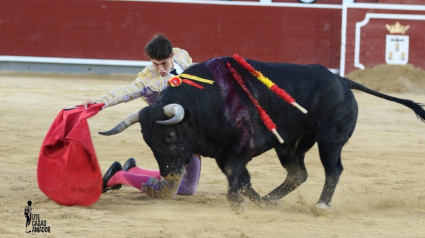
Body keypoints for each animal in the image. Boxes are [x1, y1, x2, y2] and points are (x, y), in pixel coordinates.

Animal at [100, 57, 424, 208]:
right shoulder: (225, 153)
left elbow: (236, 176)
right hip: (291, 145)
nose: (168, 173)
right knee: (298, 173)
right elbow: (240, 179)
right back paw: (271, 200)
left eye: (169, 137)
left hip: (330, 140)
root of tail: (343, 81)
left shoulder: (243, 147)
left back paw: (321, 204)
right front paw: (253, 201)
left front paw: (239, 204)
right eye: (148, 141)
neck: (205, 103)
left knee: (333, 169)